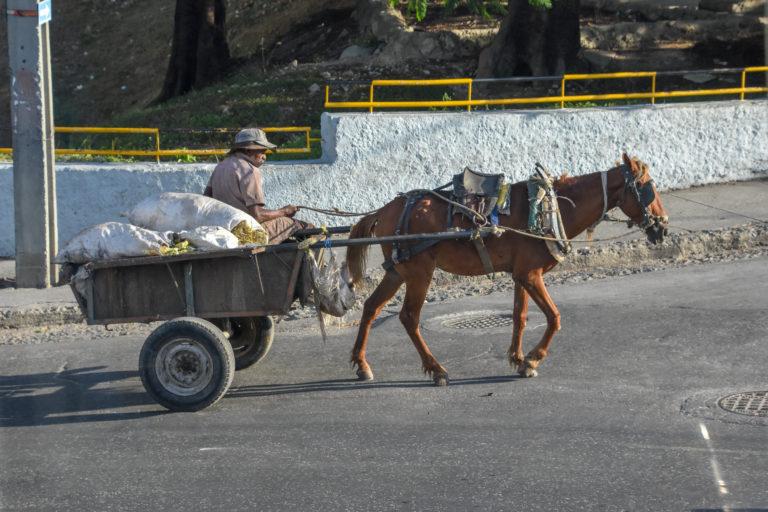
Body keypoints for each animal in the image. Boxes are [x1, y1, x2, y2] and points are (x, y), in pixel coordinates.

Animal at [344, 152, 668, 384]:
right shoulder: (530, 274)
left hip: (397, 271)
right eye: (646, 188)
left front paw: (518, 358)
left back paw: (362, 364)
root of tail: (384, 210)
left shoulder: (521, 275)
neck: (551, 208)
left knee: (371, 307)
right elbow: (554, 317)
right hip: (419, 273)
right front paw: (534, 359)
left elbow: (519, 316)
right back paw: (436, 369)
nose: (662, 228)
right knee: (409, 317)